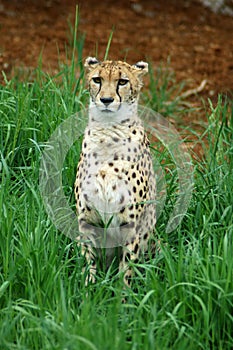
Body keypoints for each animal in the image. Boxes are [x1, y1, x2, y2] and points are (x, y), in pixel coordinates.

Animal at [74, 56, 157, 288]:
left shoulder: (130, 226)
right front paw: (88, 288)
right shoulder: (87, 221)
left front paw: (122, 296)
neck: (107, 132)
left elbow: (126, 269)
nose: (106, 100)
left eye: (122, 81)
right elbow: (88, 261)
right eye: (97, 79)